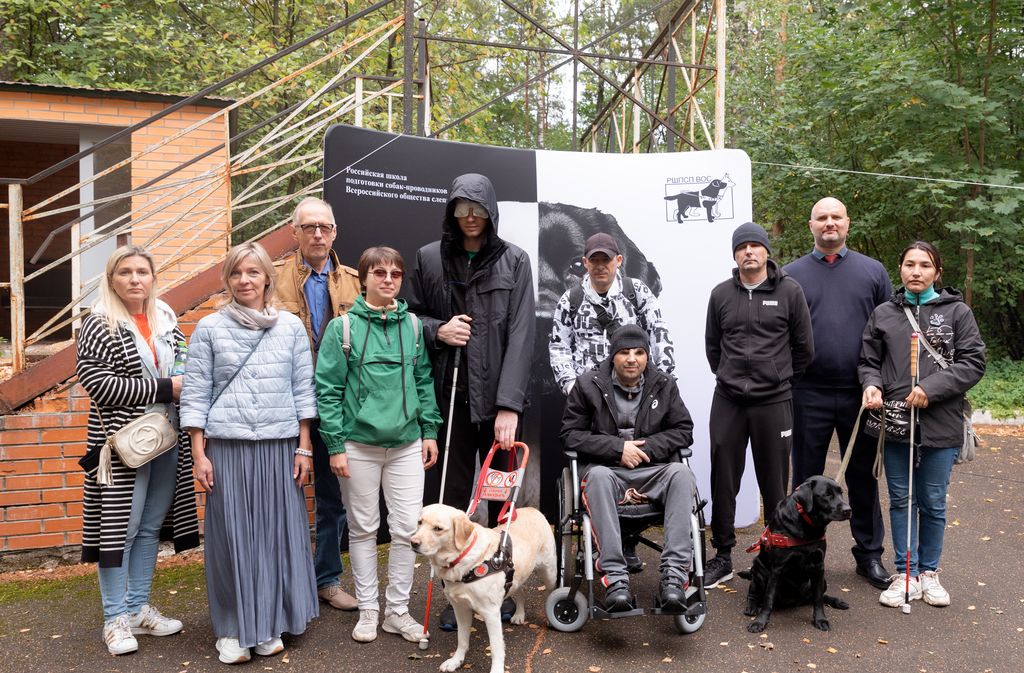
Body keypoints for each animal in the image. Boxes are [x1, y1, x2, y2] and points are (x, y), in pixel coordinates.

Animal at [411, 503, 557, 671]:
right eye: (419, 522)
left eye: (438, 528)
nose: (413, 542)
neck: (465, 562)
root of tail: (532, 508)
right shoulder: (460, 608)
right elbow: (462, 639)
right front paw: (456, 661)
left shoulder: (491, 612)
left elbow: (496, 647)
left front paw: (497, 669)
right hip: (516, 576)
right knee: (520, 592)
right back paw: (519, 615)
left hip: (549, 572)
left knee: (551, 592)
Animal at [745, 475, 856, 631]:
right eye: (827, 494)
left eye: (841, 493)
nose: (848, 510)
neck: (807, 526)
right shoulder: (777, 569)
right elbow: (768, 599)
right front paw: (759, 622)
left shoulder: (819, 566)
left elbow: (818, 598)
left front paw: (821, 619)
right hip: (758, 572)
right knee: (753, 592)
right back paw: (752, 607)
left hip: (822, 581)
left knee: (815, 596)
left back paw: (837, 601)